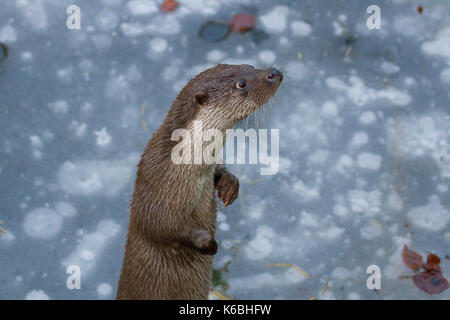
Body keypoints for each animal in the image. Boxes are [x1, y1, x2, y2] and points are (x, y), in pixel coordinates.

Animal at [116, 63, 282, 298]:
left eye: (250, 66)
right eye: (240, 83)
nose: (274, 72)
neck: (180, 164)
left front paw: (229, 185)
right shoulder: (152, 189)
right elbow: (159, 226)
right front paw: (208, 243)